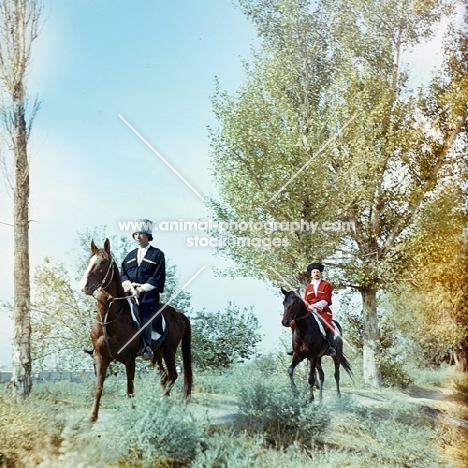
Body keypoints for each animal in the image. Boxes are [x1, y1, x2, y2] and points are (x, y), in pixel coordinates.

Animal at [80, 239, 192, 422]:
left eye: (103, 262)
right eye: (89, 261)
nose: (84, 286)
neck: (109, 318)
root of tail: (176, 313)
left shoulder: (129, 359)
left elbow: (130, 390)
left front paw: (132, 415)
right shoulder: (100, 357)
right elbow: (98, 389)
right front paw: (92, 417)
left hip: (169, 351)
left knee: (172, 377)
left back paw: (164, 407)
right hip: (156, 355)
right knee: (164, 378)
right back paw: (162, 407)